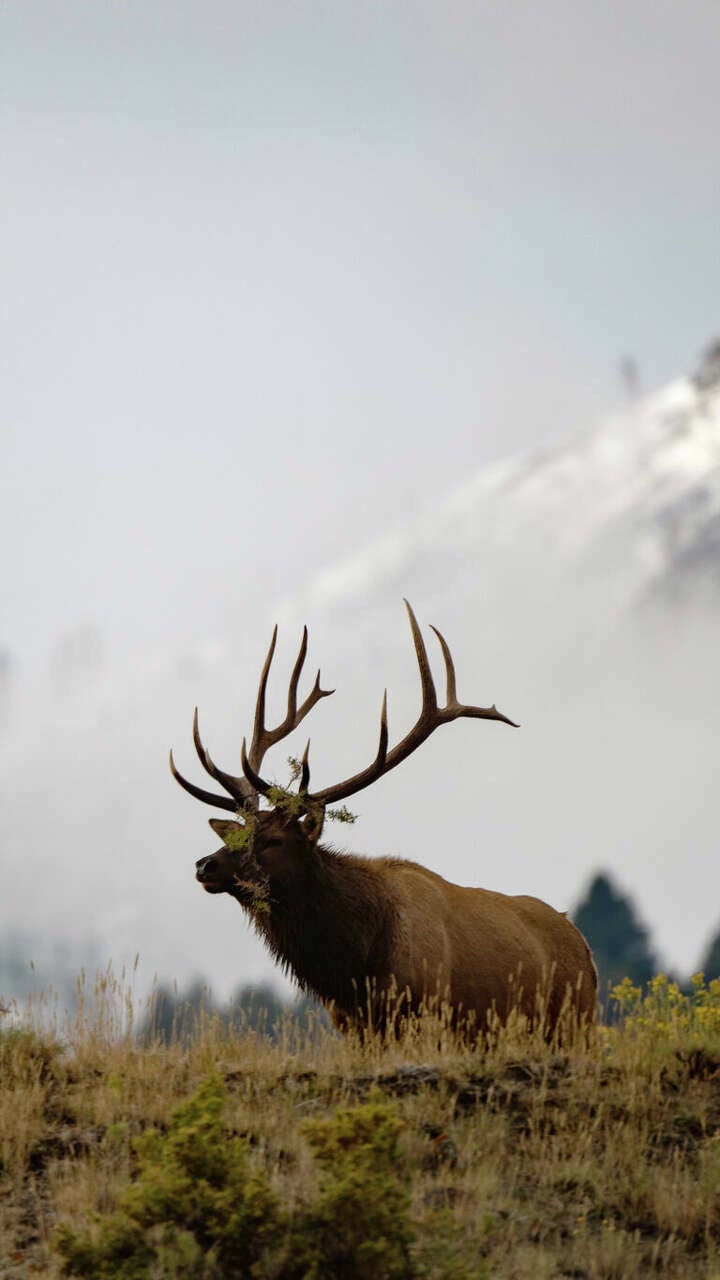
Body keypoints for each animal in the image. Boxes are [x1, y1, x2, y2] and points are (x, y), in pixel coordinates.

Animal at [170, 600, 597, 1038]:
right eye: (235, 837)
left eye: (274, 840)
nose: (205, 865)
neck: (353, 969)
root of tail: (584, 947)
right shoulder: (353, 1027)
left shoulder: (426, 1016)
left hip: (574, 1023)